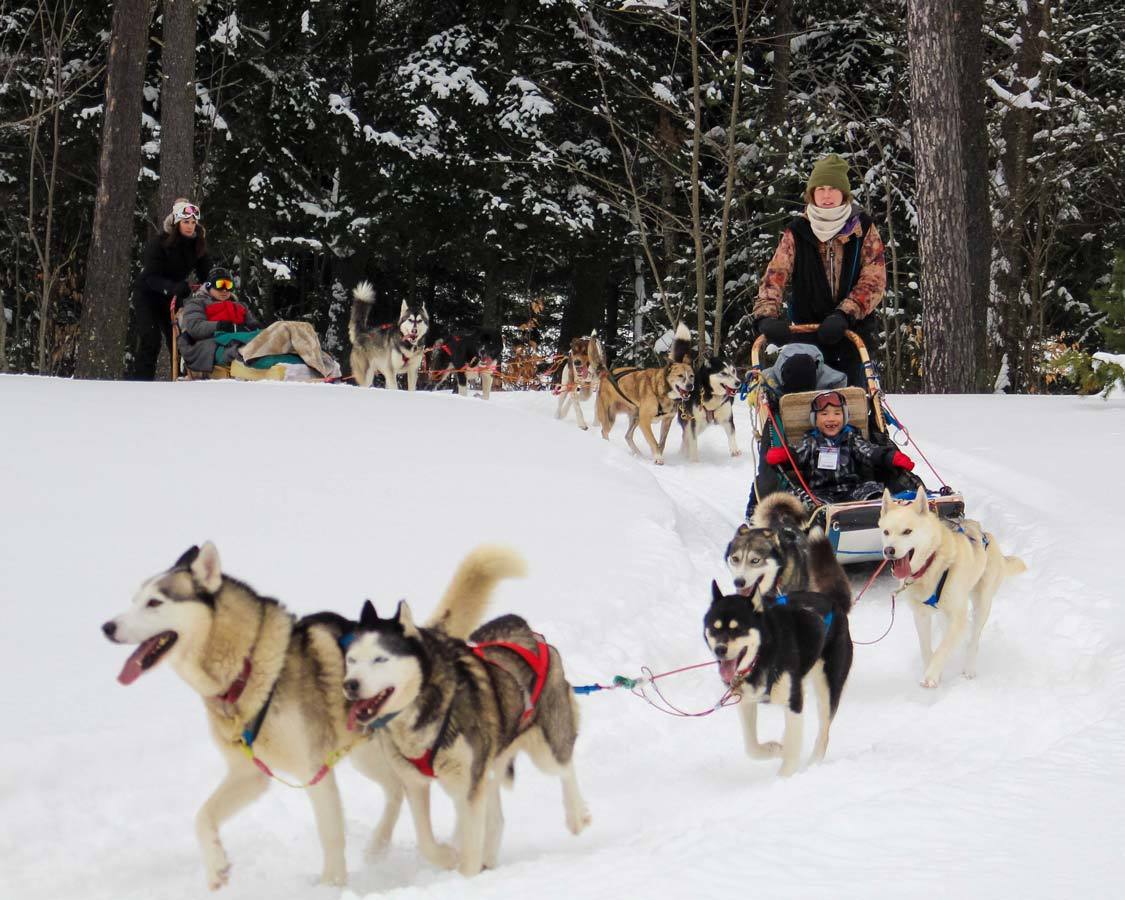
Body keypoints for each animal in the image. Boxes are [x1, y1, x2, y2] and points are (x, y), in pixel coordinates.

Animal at [99, 542, 515, 886]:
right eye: (134, 599)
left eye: (155, 602)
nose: (107, 626)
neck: (248, 669)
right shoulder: (250, 774)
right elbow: (202, 817)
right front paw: (217, 868)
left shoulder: (314, 771)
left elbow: (330, 837)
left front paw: (332, 887)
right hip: (369, 754)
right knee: (397, 790)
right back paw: (379, 848)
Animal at [339, 555, 589, 877]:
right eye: (351, 660)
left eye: (380, 659)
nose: (350, 684)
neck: (425, 708)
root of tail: (525, 629)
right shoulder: (417, 783)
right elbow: (426, 840)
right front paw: (447, 857)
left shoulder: (468, 784)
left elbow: (470, 840)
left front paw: (466, 874)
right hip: (487, 765)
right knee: (495, 818)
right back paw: (487, 857)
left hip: (545, 749)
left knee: (565, 766)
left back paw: (577, 815)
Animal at [598, 324, 693, 463]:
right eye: (680, 376)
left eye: (692, 376)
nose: (690, 386)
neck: (661, 391)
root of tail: (607, 375)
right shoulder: (645, 420)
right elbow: (653, 441)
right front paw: (658, 457)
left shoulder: (667, 421)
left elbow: (661, 443)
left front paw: (658, 454)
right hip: (610, 416)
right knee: (604, 432)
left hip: (635, 417)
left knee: (627, 436)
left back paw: (638, 454)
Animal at [702, 576, 850, 778]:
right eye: (714, 628)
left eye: (737, 629)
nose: (720, 649)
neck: (763, 655)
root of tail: (833, 604)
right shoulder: (745, 702)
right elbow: (751, 748)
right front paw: (776, 748)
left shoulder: (794, 701)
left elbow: (792, 747)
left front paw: (785, 777)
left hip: (827, 688)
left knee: (823, 733)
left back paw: (813, 764)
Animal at [877, 488, 1030, 684]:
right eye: (886, 532)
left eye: (907, 531)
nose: (889, 550)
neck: (931, 565)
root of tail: (986, 534)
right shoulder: (921, 616)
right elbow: (926, 649)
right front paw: (930, 669)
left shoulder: (958, 617)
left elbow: (943, 648)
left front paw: (931, 675)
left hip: (982, 604)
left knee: (973, 640)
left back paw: (969, 667)